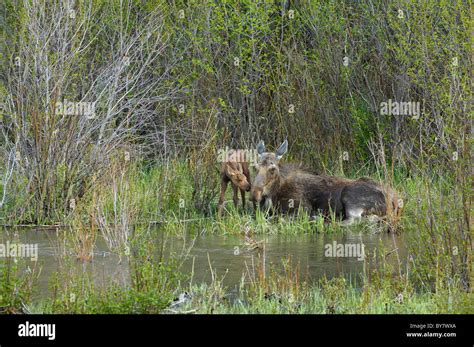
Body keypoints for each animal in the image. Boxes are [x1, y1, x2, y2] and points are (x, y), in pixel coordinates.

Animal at [250, 140, 402, 227]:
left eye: (272, 169)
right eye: (255, 167)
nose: (254, 194)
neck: (275, 193)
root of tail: (397, 200)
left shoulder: (302, 207)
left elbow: (279, 219)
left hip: (350, 196)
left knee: (353, 220)